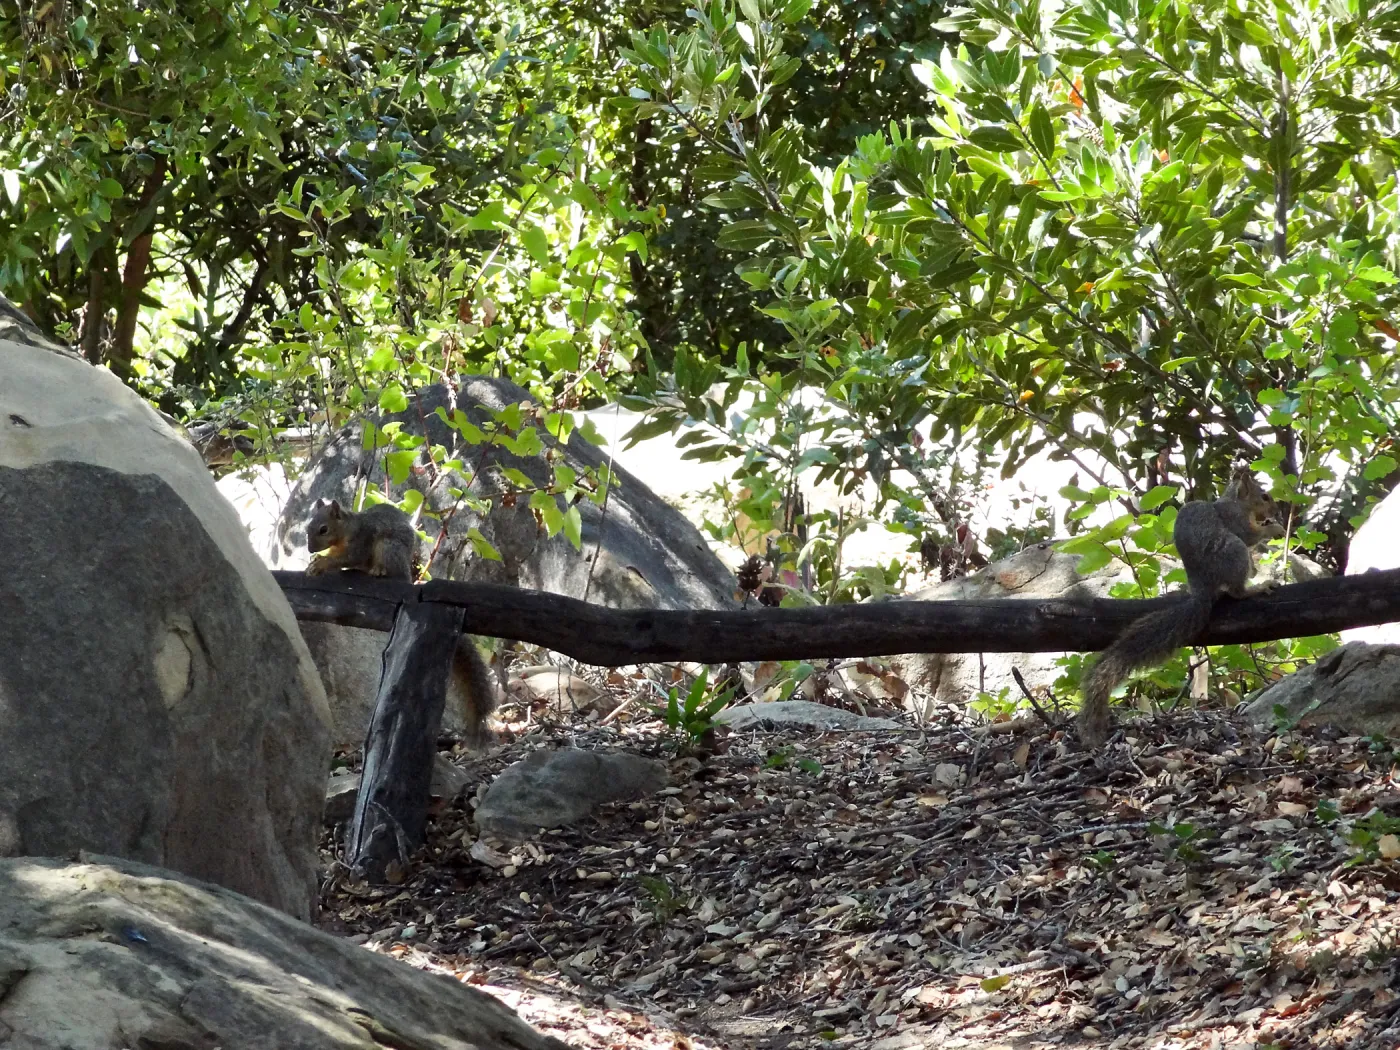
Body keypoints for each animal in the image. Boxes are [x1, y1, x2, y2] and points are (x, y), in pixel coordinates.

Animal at [305, 498, 496, 749]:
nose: (310, 549)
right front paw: (315, 561)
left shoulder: (361, 542)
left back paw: (378, 570)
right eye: (308, 528)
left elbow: (349, 558)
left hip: (388, 547)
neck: (347, 529)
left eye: (323, 529)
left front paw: (322, 564)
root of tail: (407, 575)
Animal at [1077, 468, 1286, 748]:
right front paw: (1274, 528)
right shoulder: (1235, 520)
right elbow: (1249, 534)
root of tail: (1202, 590)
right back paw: (1256, 587)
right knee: (1236, 591)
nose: (1276, 510)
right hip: (1234, 551)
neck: (1235, 502)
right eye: (1264, 496)